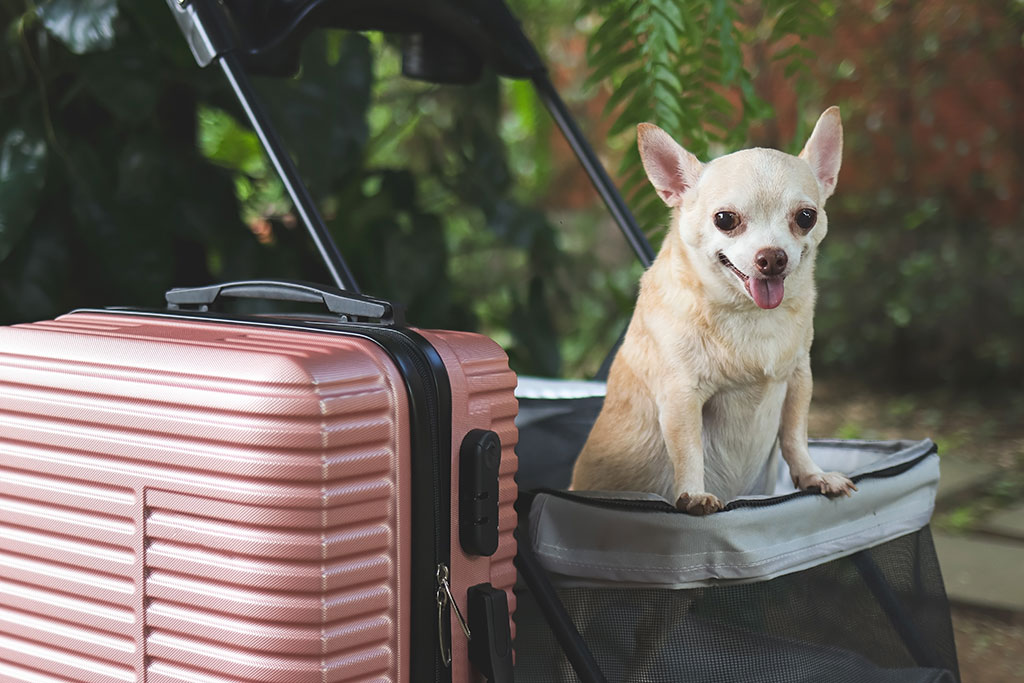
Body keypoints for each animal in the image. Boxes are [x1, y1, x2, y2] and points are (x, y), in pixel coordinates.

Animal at [573, 107, 851, 511]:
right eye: (725, 219)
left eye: (805, 217)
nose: (772, 257)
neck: (750, 315)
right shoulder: (681, 397)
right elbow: (689, 452)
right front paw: (694, 495)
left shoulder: (799, 380)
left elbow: (795, 436)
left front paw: (813, 475)